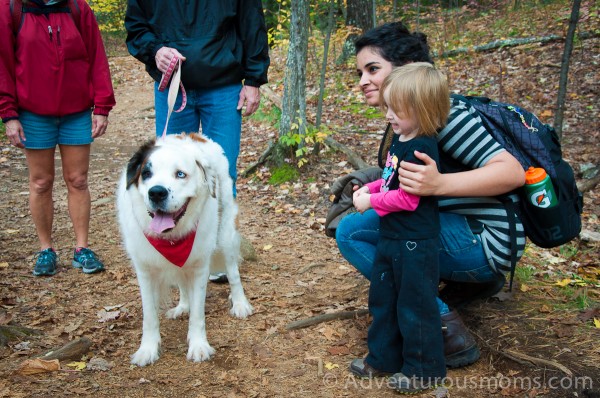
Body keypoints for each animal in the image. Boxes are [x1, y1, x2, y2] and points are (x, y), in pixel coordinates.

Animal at [117, 134, 253, 366]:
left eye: (180, 174)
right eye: (146, 174)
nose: (157, 192)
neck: (171, 239)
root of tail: (196, 135)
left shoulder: (199, 266)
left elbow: (198, 314)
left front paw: (199, 346)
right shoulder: (145, 270)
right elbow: (149, 316)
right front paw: (147, 349)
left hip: (225, 232)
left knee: (233, 271)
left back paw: (240, 303)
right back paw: (183, 306)